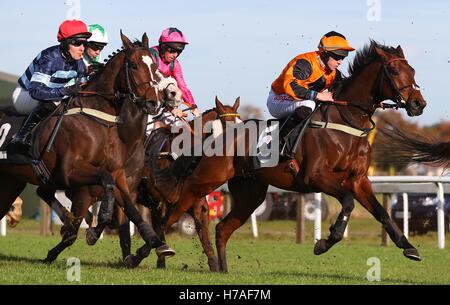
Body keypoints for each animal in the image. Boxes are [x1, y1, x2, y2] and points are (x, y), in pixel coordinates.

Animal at [133, 40, 426, 270]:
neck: (346, 122)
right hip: (204, 181)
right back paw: (144, 253)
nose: (418, 103)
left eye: (412, 70)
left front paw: (409, 247)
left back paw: (221, 269)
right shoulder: (317, 177)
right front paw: (324, 242)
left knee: (221, 227)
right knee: (174, 212)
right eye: (393, 70)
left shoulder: (359, 180)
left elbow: (382, 213)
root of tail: (214, 139)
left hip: (251, 192)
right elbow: (347, 204)